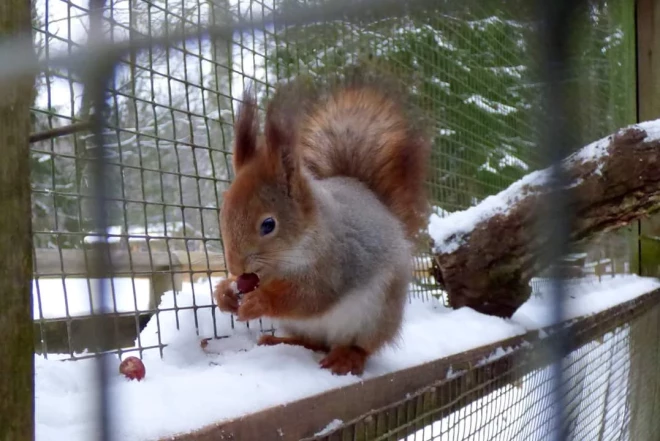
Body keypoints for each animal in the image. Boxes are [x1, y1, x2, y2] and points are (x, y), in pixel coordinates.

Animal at [214, 70, 434, 372]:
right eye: (222, 214)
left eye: (268, 225)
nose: (236, 266)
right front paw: (224, 292)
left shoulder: (337, 263)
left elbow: (312, 297)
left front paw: (259, 300)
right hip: (304, 326)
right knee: (313, 343)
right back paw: (279, 341)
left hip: (375, 315)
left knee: (360, 346)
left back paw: (347, 357)